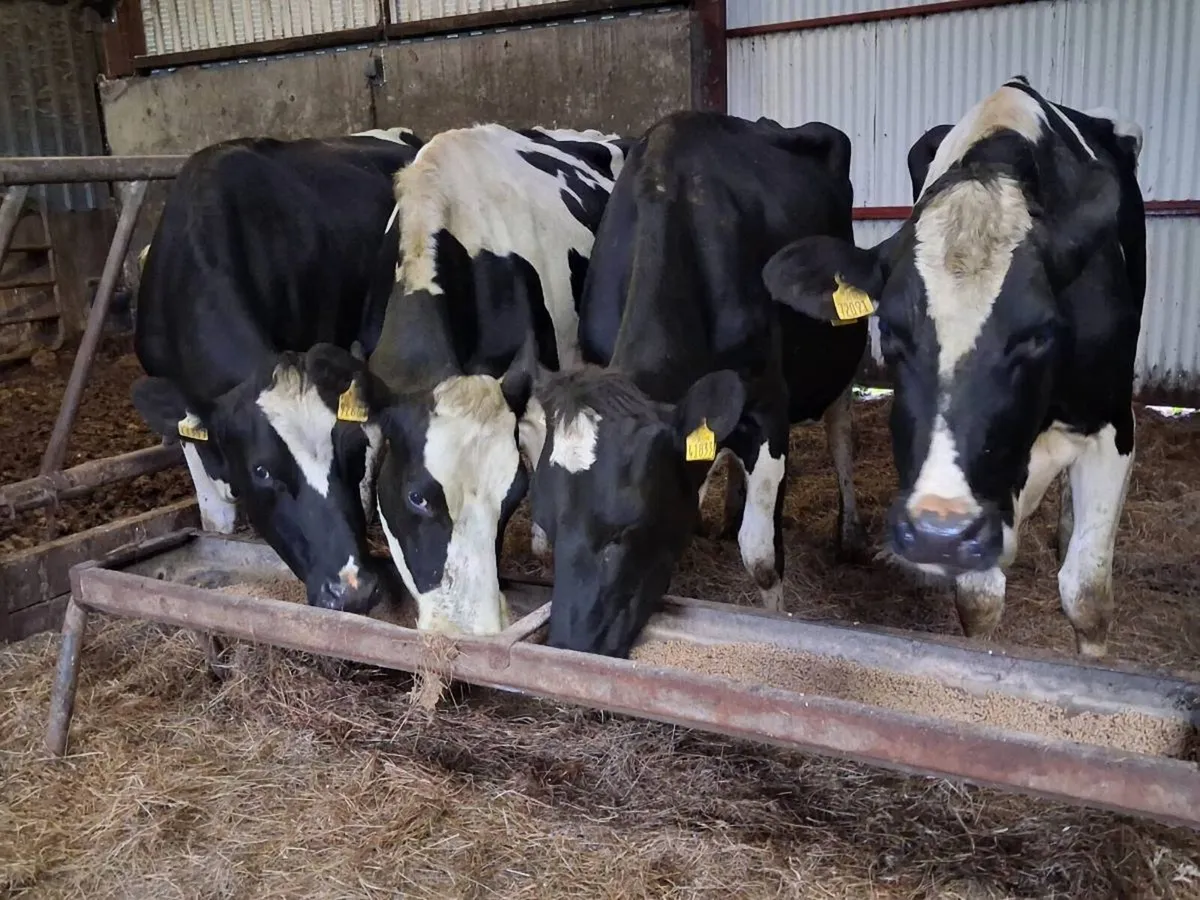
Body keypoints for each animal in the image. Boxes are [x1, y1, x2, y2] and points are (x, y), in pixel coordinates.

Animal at [511, 110, 871, 657]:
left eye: (627, 529)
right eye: (549, 526)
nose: (569, 646)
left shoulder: (768, 405)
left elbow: (761, 557)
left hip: (840, 358)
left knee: (841, 434)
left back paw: (848, 533)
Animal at [761, 76, 1146, 658]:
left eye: (1038, 335)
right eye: (890, 332)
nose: (936, 533)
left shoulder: (1112, 424)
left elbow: (1087, 596)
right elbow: (979, 601)